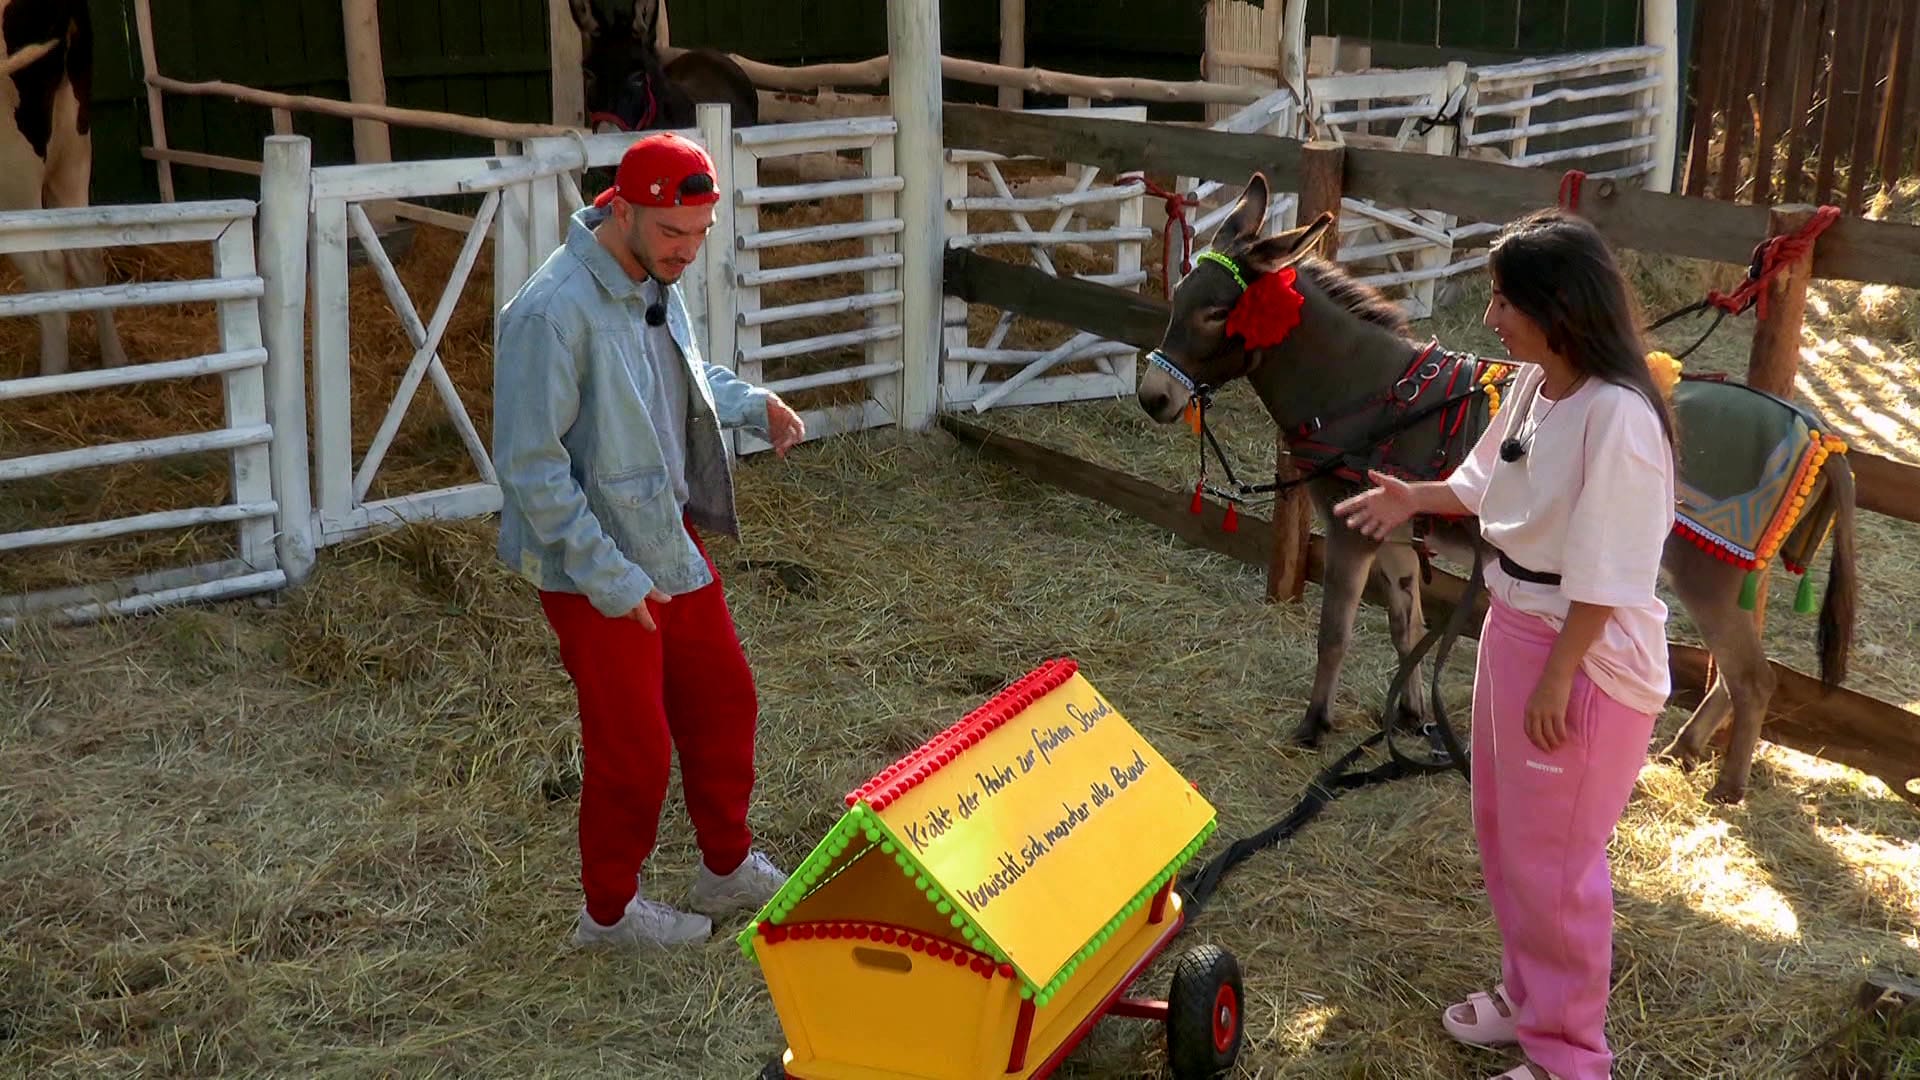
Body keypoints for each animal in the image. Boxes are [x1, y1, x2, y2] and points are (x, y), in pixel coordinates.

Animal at [0, 0, 126, 376]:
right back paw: (114, 362)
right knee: (87, 253)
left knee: (48, 265)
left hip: (13, 171)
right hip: (72, 155)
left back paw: (51, 374)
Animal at [1134, 173, 1859, 806]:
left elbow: (1334, 631)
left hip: (1706, 571)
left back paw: (1726, 787)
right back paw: (1686, 748)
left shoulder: (1347, 528)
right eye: (1178, 296)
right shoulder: (1391, 528)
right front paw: (1411, 715)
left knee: (1754, 677)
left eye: (1215, 312)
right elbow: (1406, 625)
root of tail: (1817, 431)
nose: (1153, 397)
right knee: (1737, 672)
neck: (1370, 391)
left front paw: (1315, 726)